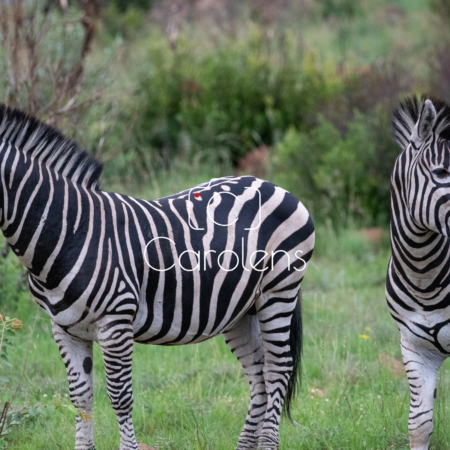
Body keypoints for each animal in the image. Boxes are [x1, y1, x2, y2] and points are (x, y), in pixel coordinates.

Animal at [0, 105, 314, 450]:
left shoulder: (115, 323)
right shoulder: (65, 329)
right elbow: (80, 398)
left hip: (278, 291)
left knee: (277, 370)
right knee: (259, 375)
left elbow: (120, 397)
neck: (69, 232)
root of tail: (272, 185)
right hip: (241, 309)